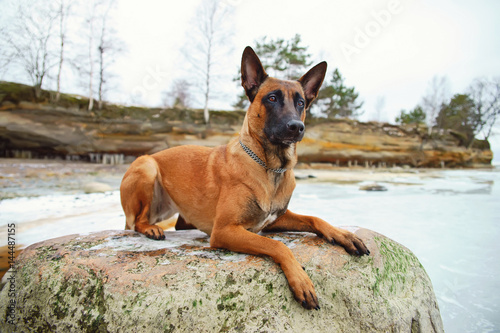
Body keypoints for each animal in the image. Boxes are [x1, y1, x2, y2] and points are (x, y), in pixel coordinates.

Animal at [120, 46, 372, 308]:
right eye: (272, 98)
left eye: (301, 102)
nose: (296, 127)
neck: (271, 168)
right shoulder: (225, 231)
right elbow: (277, 245)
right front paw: (301, 280)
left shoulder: (273, 220)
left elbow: (314, 218)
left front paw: (342, 234)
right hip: (147, 166)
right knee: (137, 221)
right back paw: (150, 229)